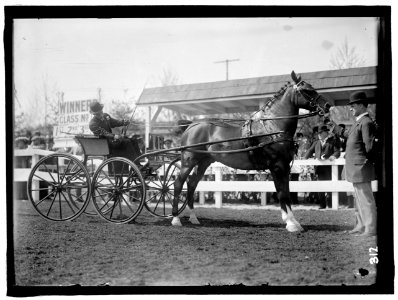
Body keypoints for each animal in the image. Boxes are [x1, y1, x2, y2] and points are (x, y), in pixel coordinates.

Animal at [169, 70, 332, 232]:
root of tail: (191, 125)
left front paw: (293, 222)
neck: (273, 128)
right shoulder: (277, 166)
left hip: (203, 162)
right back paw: (176, 219)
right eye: (306, 90)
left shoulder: (285, 167)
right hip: (188, 161)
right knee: (178, 184)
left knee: (191, 184)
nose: (327, 105)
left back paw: (193, 218)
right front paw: (291, 224)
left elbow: (286, 191)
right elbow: (282, 193)